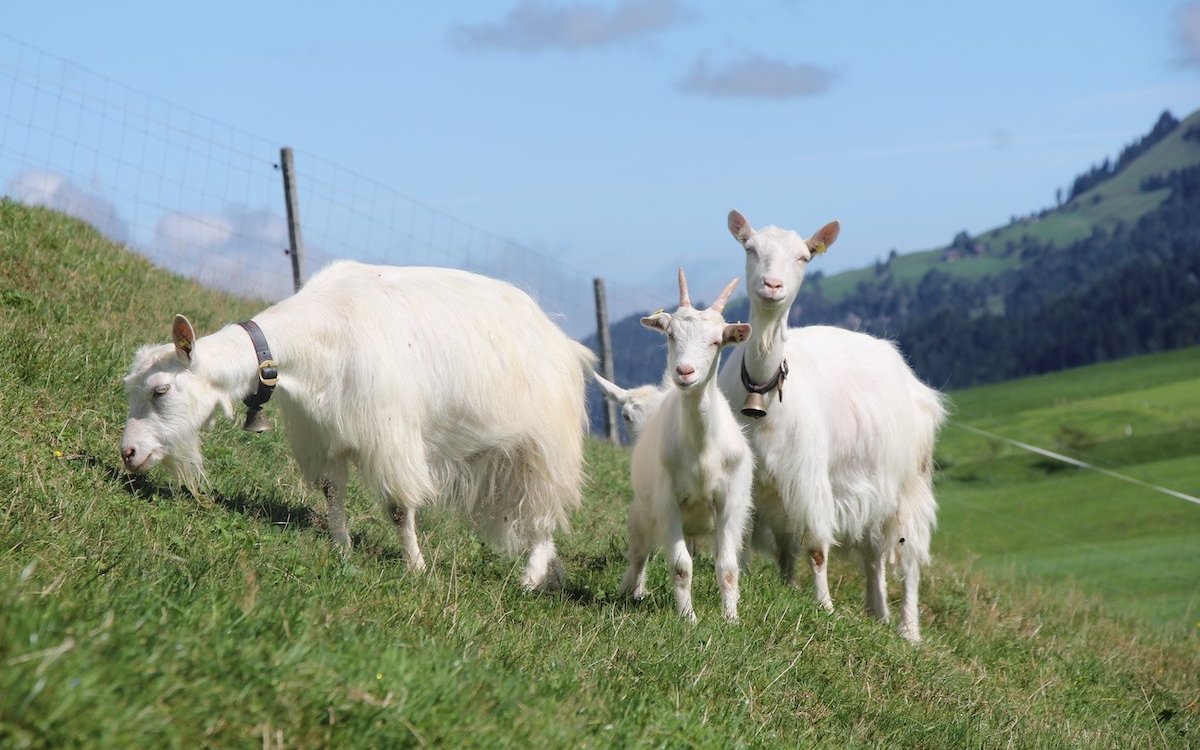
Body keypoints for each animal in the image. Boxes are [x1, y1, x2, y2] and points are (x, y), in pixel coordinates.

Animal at [119, 260, 597, 588]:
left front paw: (416, 568)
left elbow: (399, 508)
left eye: (160, 390)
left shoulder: (389, 436)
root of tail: (565, 342)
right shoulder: (326, 436)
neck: (320, 336)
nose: (128, 452)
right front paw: (341, 547)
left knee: (545, 506)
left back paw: (531, 576)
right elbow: (333, 493)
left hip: (546, 444)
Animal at [619, 268, 748, 619]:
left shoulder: (729, 501)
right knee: (639, 553)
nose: (684, 371)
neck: (702, 451)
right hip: (643, 511)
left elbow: (727, 567)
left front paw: (731, 618)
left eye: (717, 341)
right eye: (670, 335)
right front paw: (688, 618)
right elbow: (680, 566)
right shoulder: (668, 501)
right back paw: (632, 589)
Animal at [710, 208, 945, 638]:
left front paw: (825, 606)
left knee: (908, 557)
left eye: (804, 257)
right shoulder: (756, 478)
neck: (765, 392)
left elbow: (817, 548)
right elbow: (757, 541)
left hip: (909, 484)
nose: (773, 285)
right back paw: (878, 613)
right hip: (868, 489)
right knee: (873, 556)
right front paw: (768, 585)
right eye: (750, 248)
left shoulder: (810, 476)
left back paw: (909, 631)